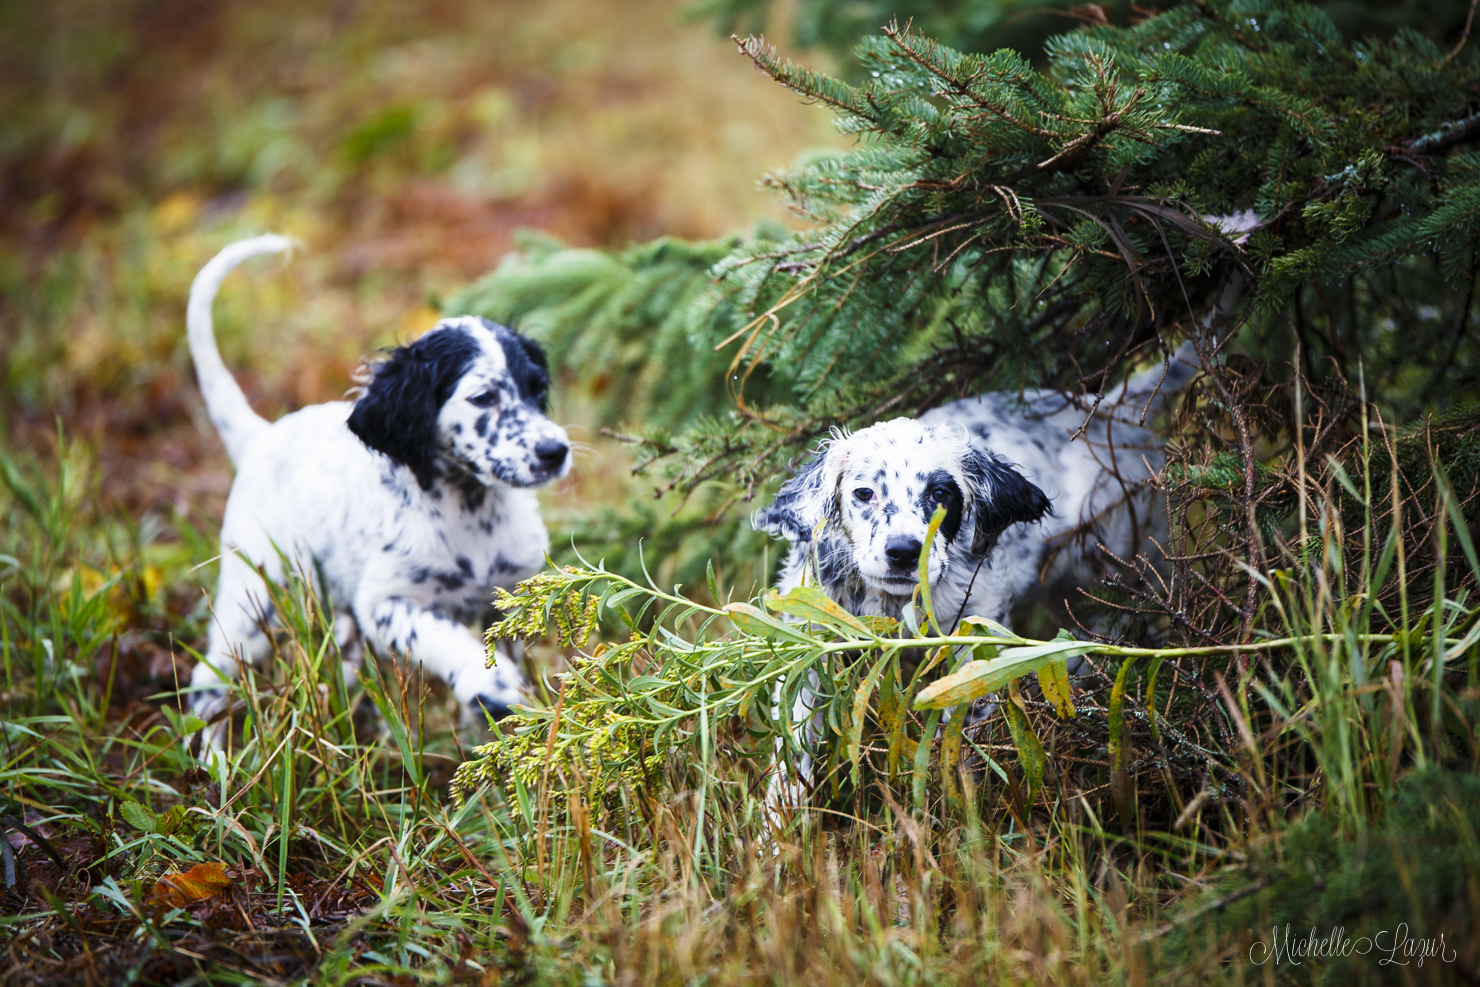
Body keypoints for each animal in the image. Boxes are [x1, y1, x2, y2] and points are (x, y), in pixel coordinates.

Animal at [187, 233, 568, 739]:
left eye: (537, 388)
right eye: (483, 397)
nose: (555, 451)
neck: (470, 509)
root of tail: (261, 437)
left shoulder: (507, 597)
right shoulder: (386, 602)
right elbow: (447, 640)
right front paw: (493, 686)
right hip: (257, 598)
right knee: (208, 680)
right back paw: (214, 755)